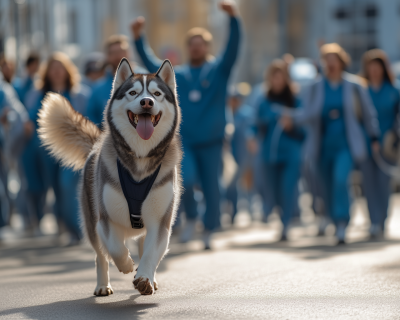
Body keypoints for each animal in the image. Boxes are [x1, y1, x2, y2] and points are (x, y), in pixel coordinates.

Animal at [37, 58, 181, 296]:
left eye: (157, 93)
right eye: (133, 92)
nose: (147, 102)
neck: (139, 158)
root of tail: (96, 143)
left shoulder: (160, 220)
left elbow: (152, 252)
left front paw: (144, 277)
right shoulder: (104, 219)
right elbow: (114, 247)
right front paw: (126, 265)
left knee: (143, 246)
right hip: (90, 221)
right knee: (100, 255)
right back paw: (103, 285)